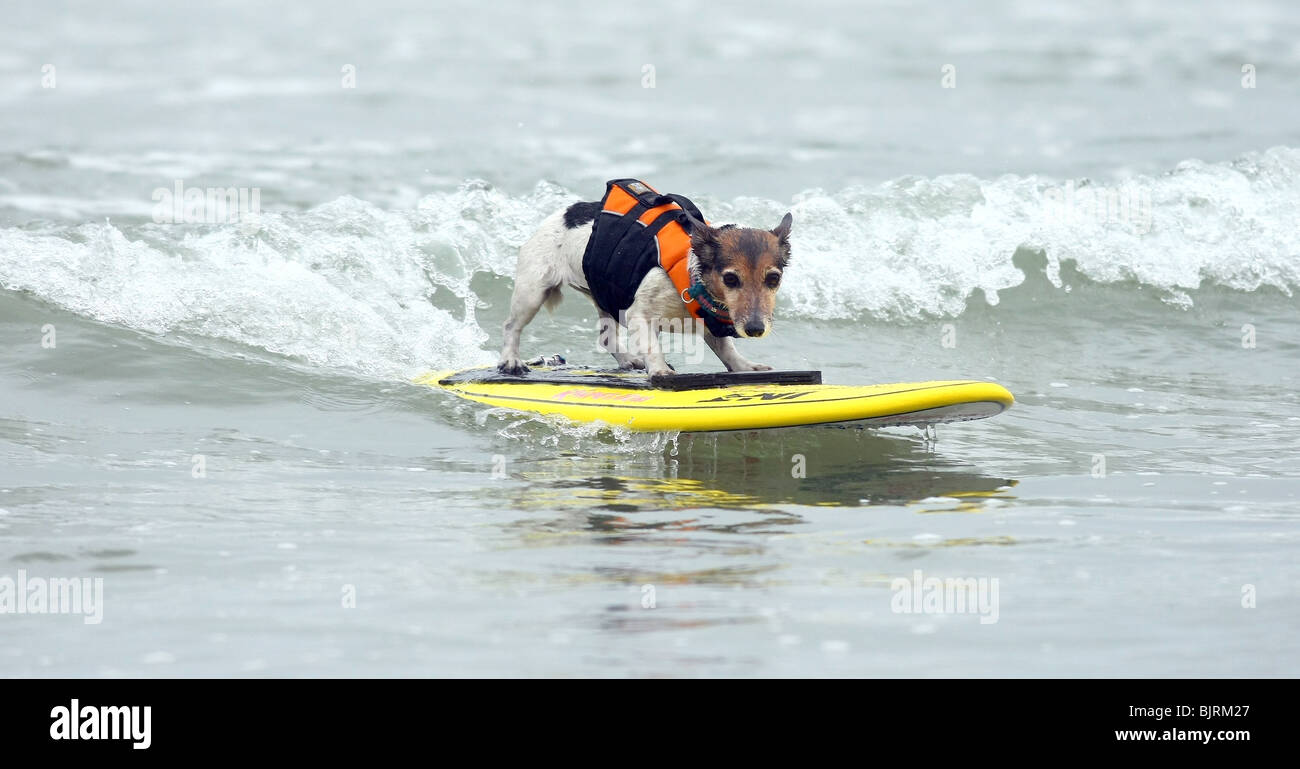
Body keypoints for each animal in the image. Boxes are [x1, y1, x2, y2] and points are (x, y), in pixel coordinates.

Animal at [491, 176, 785, 376]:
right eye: (731, 279)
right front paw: (660, 370)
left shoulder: (709, 324)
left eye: (774, 279)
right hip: (533, 291)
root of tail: (561, 213)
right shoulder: (639, 314)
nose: (755, 329)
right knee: (511, 326)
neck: (692, 276)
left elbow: (726, 349)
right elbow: (653, 346)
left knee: (607, 337)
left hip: (605, 296)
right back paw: (511, 360)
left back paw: (629, 360)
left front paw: (745, 366)